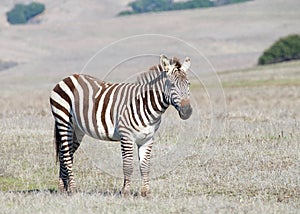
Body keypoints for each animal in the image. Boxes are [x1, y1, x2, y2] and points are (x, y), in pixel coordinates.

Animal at [49, 54, 192, 196]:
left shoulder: (148, 138)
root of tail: (68, 78)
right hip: (63, 121)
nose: (187, 111)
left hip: (77, 129)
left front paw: (145, 192)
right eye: (172, 85)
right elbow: (128, 166)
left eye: (188, 84)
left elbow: (145, 166)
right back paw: (73, 189)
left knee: (64, 154)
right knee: (66, 155)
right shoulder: (126, 136)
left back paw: (63, 188)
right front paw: (126, 191)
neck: (146, 104)